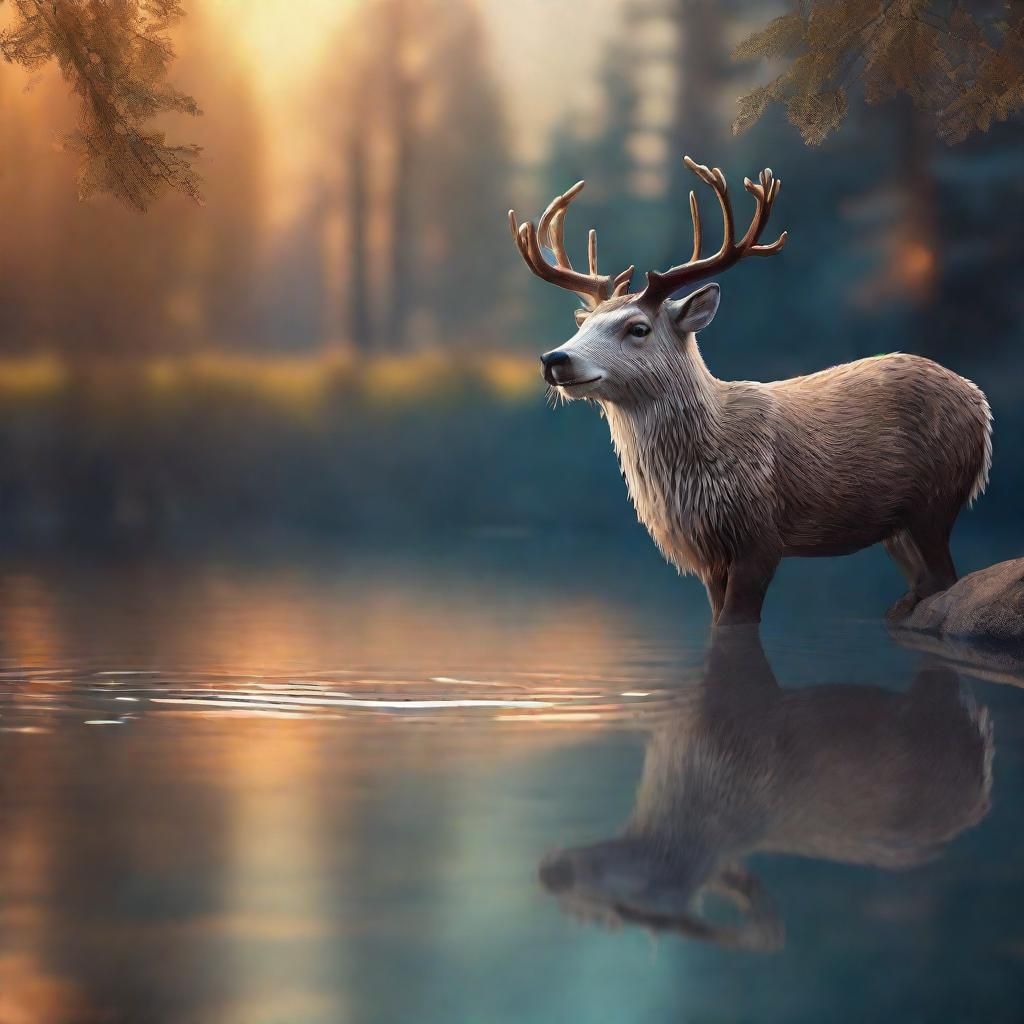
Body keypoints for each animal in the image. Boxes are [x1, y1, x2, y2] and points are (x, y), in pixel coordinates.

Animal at [509, 156, 993, 626]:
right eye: (583, 325)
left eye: (638, 327)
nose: (555, 359)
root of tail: (980, 404)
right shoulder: (706, 555)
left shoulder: (759, 536)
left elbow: (734, 628)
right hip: (899, 527)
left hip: (936, 496)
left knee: (943, 577)